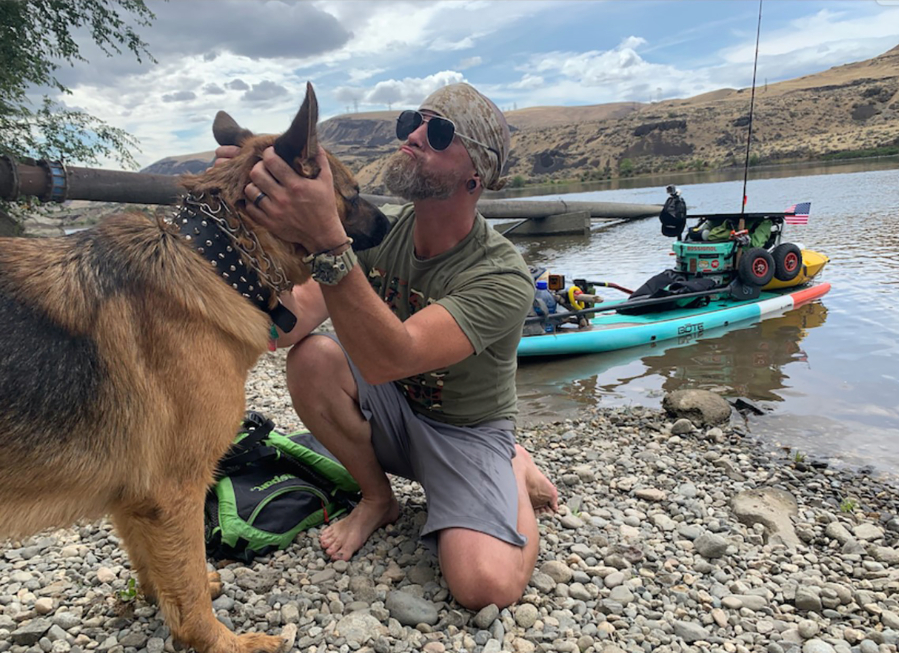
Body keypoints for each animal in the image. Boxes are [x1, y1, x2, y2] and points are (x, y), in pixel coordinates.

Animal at [0, 85, 386, 652]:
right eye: (353, 193)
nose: (391, 222)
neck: (215, 256)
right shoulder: (175, 490)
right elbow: (188, 591)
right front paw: (224, 643)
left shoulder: (136, 497)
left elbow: (163, 572)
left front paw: (168, 600)